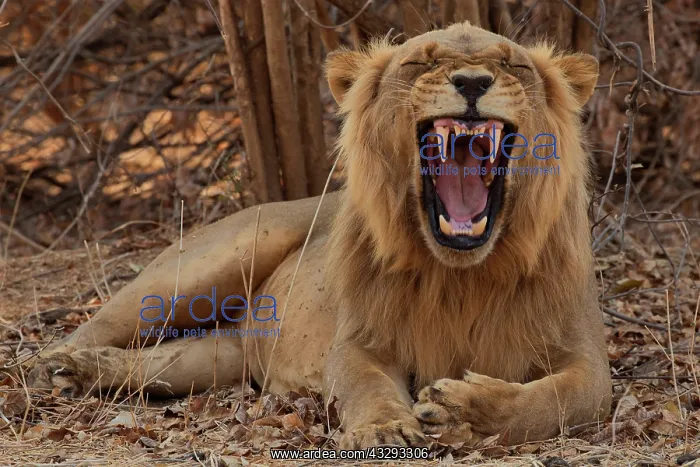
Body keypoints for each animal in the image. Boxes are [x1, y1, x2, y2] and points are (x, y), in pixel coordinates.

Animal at [25, 22, 611, 449]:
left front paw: (463, 408)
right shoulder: (359, 340)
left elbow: (553, 401)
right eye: (419, 63)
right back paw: (47, 369)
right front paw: (385, 427)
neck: (461, 274)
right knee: (90, 329)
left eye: (513, 65)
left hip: (219, 357)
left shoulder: (589, 362)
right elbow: (365, 385)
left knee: (156, 364)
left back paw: (83, 371)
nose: (471, 83)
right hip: (197, 271)